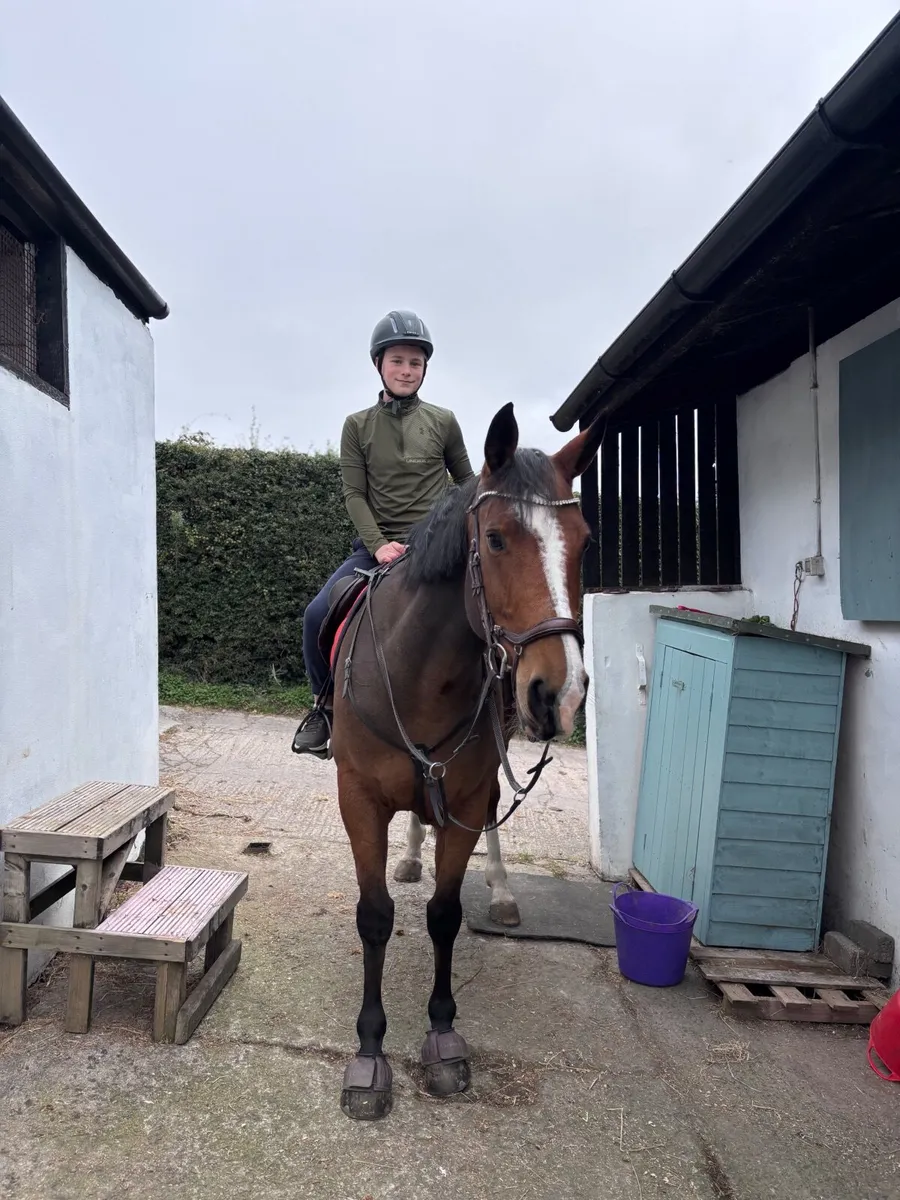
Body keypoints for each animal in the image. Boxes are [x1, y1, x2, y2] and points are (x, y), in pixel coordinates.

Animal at [330, 401, 604, 1120]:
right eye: (498, 539)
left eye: (585, 540)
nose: (560, 693)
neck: (422, 674)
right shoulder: (358, 799)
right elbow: (376, 916)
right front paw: (369, 1051)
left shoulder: (464, 793)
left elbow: (445, 915)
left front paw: (443, 1037)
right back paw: (408, 857)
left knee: (490, 828)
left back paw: (502, 892)